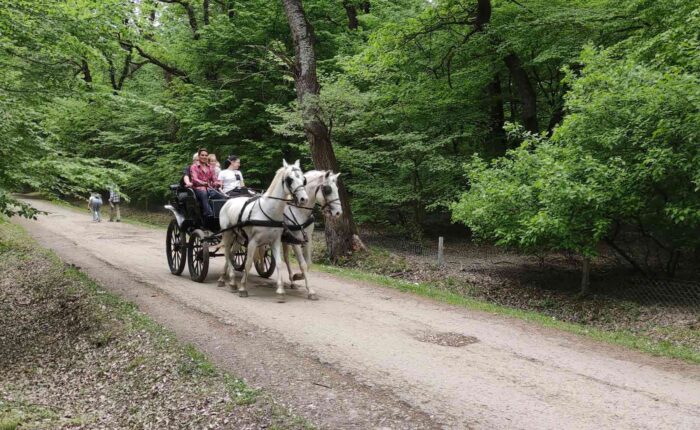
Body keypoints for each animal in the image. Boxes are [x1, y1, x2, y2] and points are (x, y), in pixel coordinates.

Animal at [217, 160, 308, 304]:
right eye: (290, 179)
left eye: (303, 179)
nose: (304, 199)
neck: (269, 210)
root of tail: (228, 201)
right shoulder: (253, 242)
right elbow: (248, 263)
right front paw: (243, 288)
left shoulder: (275, 241)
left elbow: (279, 264)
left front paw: (280, 292)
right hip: (228, 233)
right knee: (226, 252)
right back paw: (230, 280)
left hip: (239, 237)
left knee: (231, 254)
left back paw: (226, 279)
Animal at [282, 170, 342, 298]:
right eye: (327, 189)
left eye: (337, 188)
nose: (338, 212)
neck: (299, 210)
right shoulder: (295, 241)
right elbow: (303, 264)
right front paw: (310, 290)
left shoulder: (308, 239)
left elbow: (308, 263)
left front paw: (297, 277)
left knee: (286, 258)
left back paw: (292, 281)